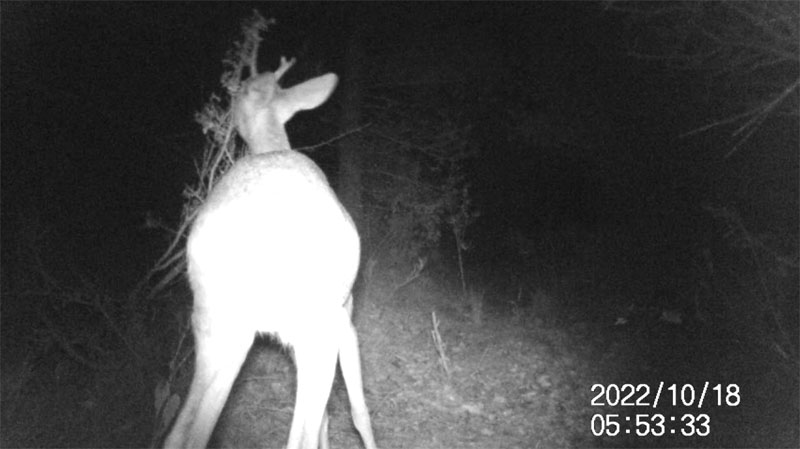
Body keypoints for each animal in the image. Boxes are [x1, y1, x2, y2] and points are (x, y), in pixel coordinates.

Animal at [165, 57, 378, 448]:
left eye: (242, 92)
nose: (228, 106)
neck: (270, 143)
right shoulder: (347, 311)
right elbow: (356, 412)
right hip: (312, 323)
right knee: (302, 433)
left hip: (215, 324)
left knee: (185, 432)